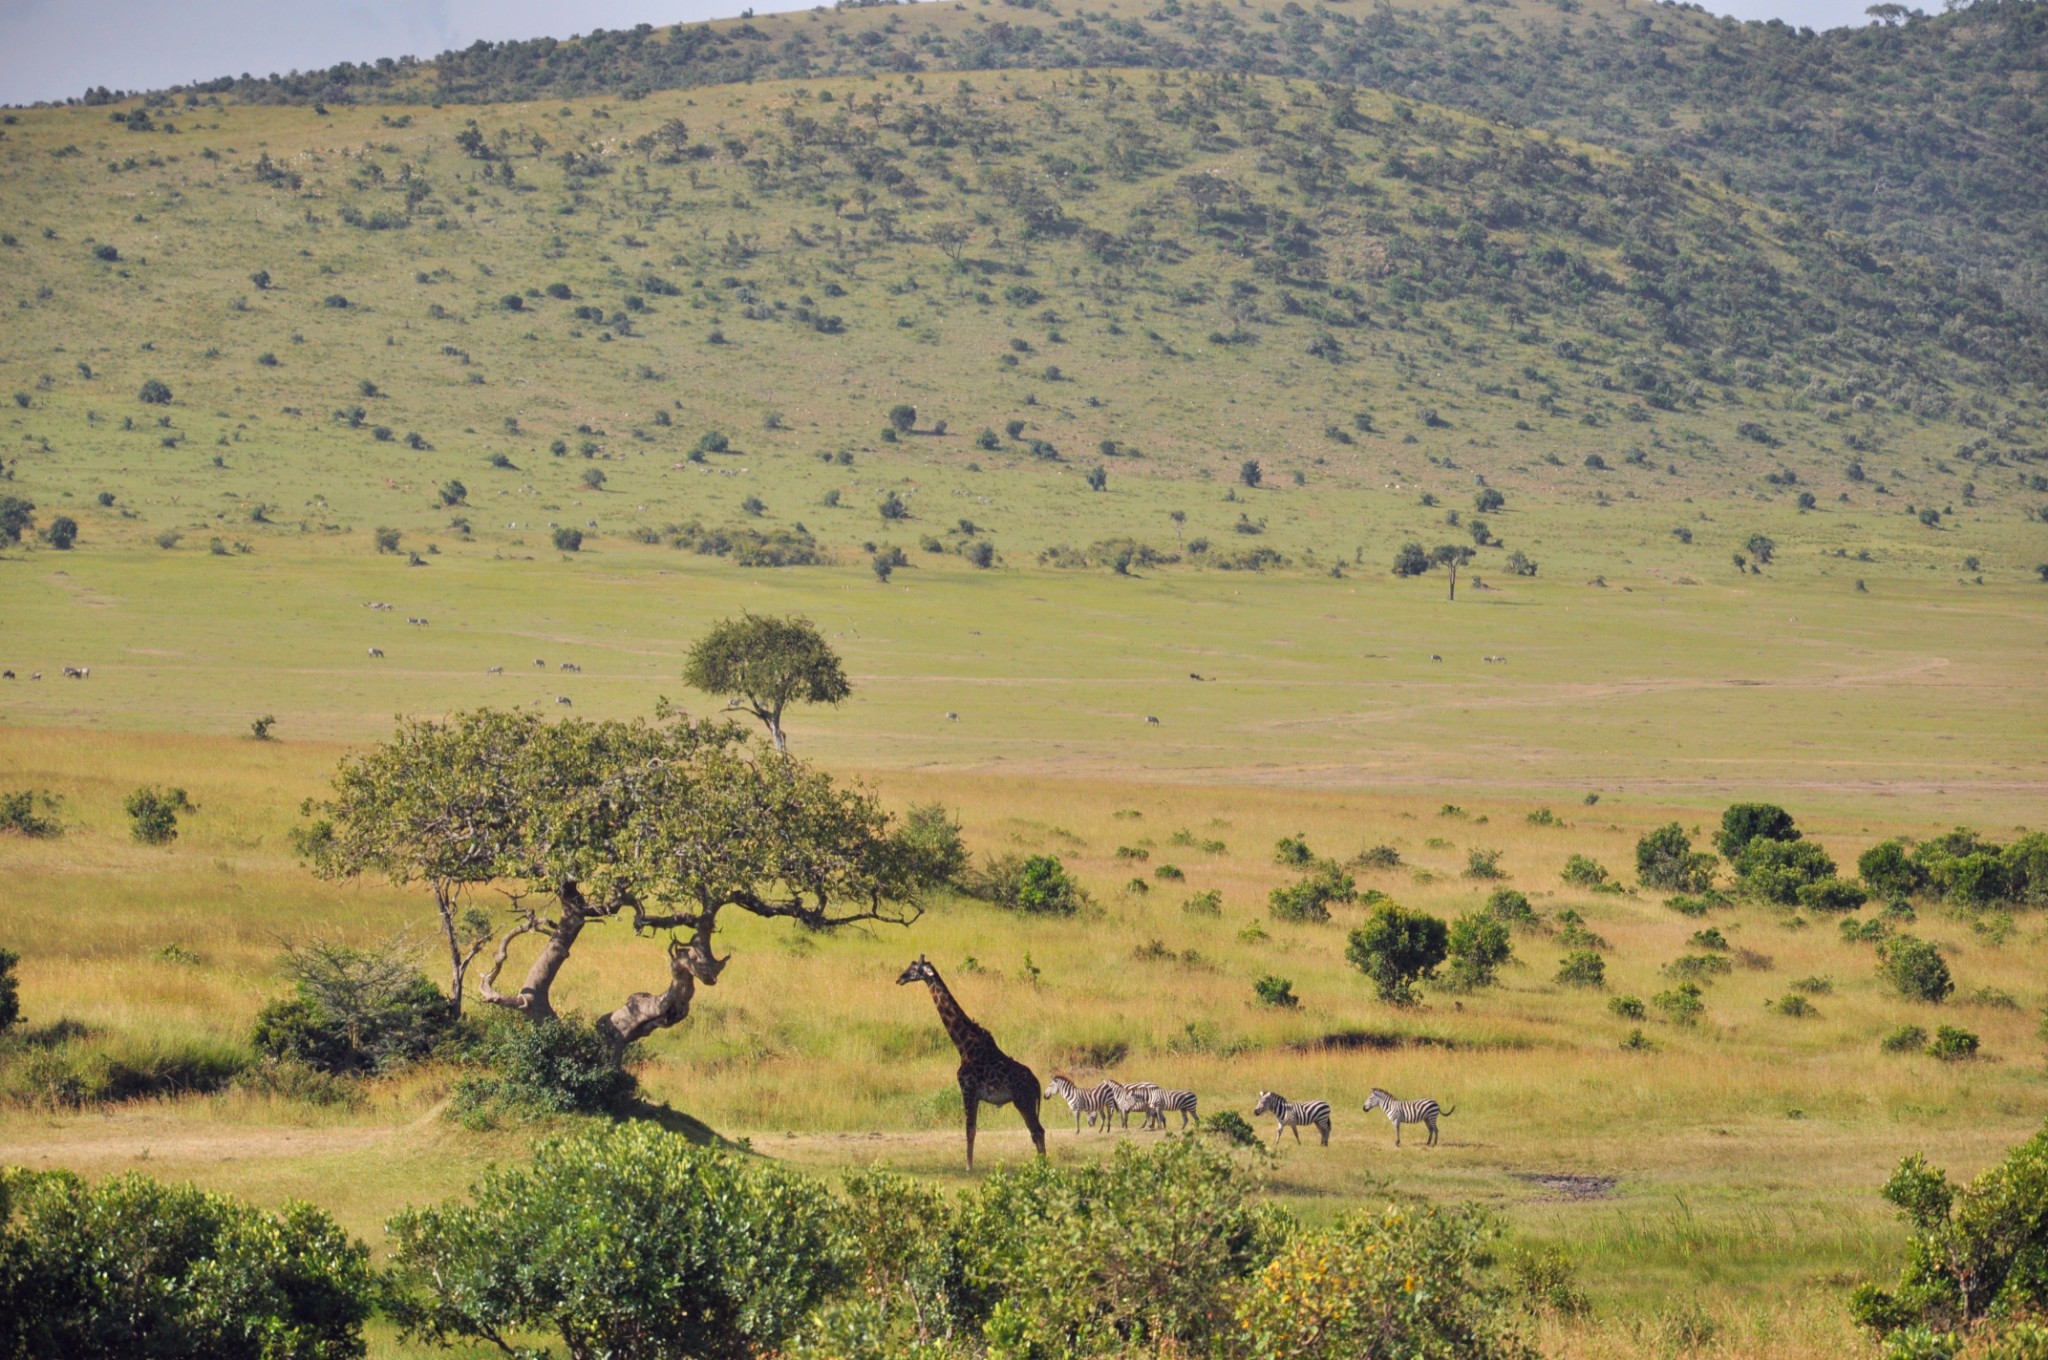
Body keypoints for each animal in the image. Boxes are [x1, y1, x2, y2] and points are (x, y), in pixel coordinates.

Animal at [901, 954, 1048, 1171]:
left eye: (914, 969)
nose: (899, 978)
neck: (964, 1044)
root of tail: (1037, 1084)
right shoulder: (976, 1095)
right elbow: (973, 1130)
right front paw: (969, 1165)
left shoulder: (967, 1089)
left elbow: (969, 1130)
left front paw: (969, 1167)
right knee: (1037, 1131)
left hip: (1024, 1101)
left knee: (1037, 1131)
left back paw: (1042, 1167)